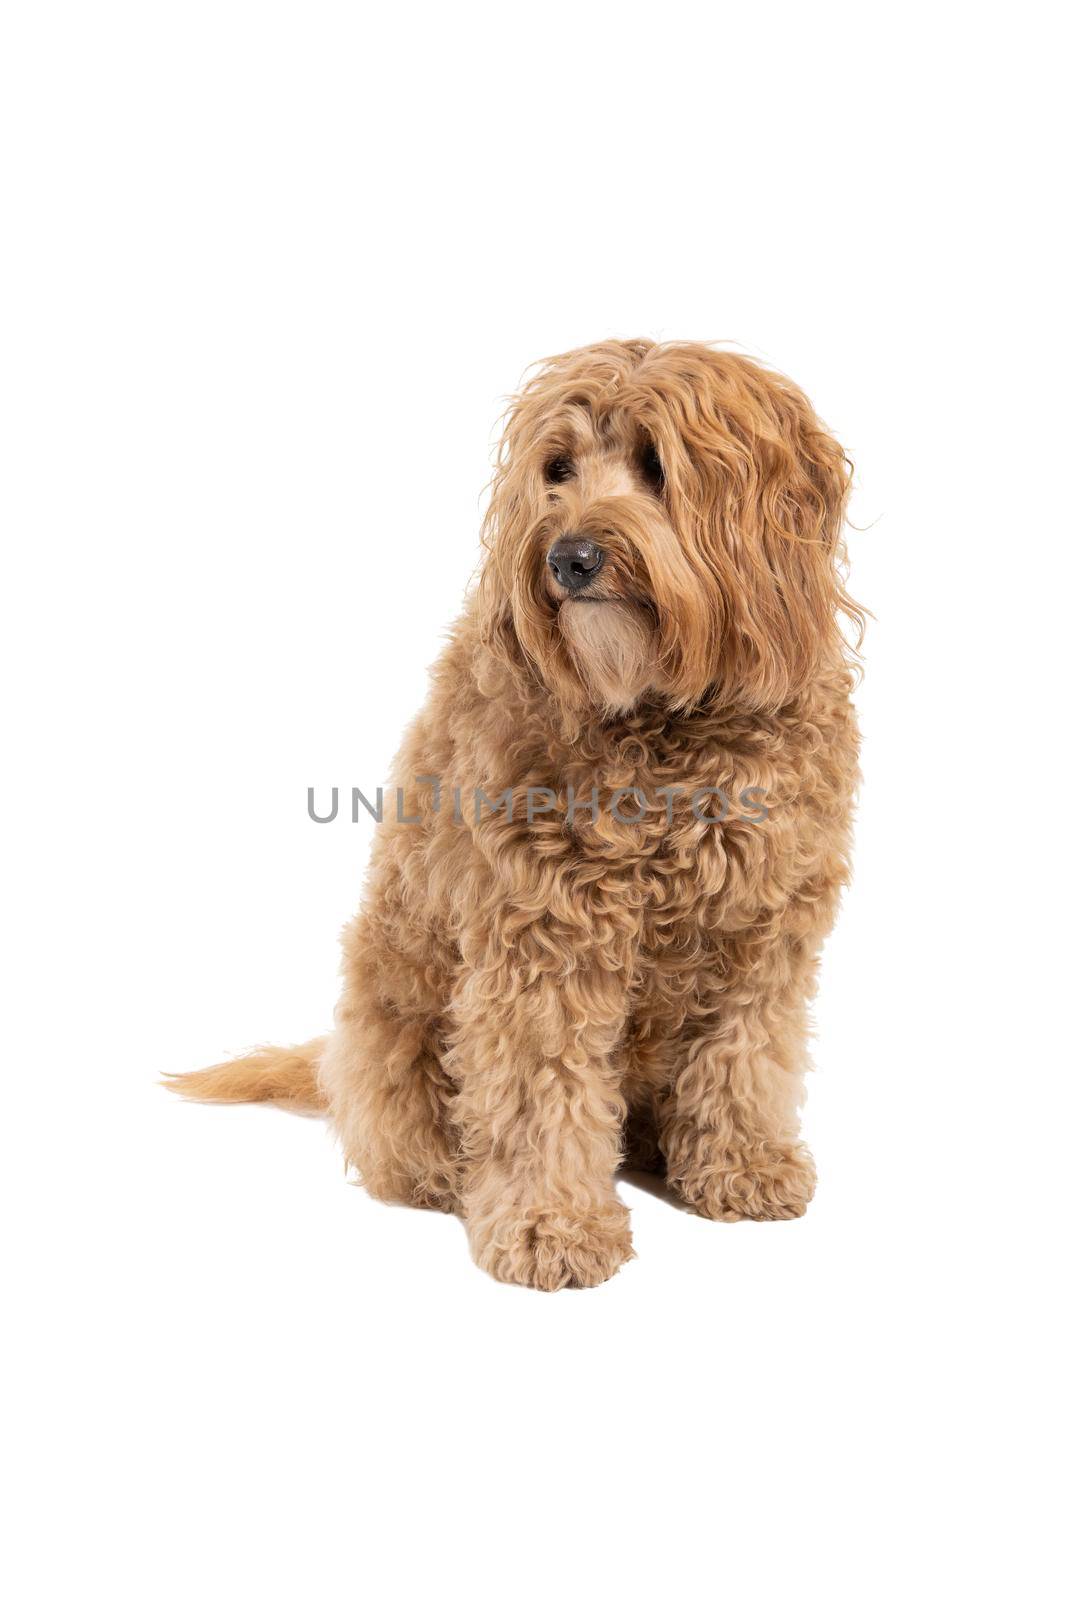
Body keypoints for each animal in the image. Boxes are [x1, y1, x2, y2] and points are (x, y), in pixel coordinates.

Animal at [168, 337, 870, 1286]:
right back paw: (452, 1179)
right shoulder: (543, 936)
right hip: (395, 1032)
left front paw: (740, 1165)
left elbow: (743, 1057)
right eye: (557, 470)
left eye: (656, 465)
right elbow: (543, 1090)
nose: (568, 558)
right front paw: (551, 1224)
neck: (660, 715)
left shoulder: (764, 933)